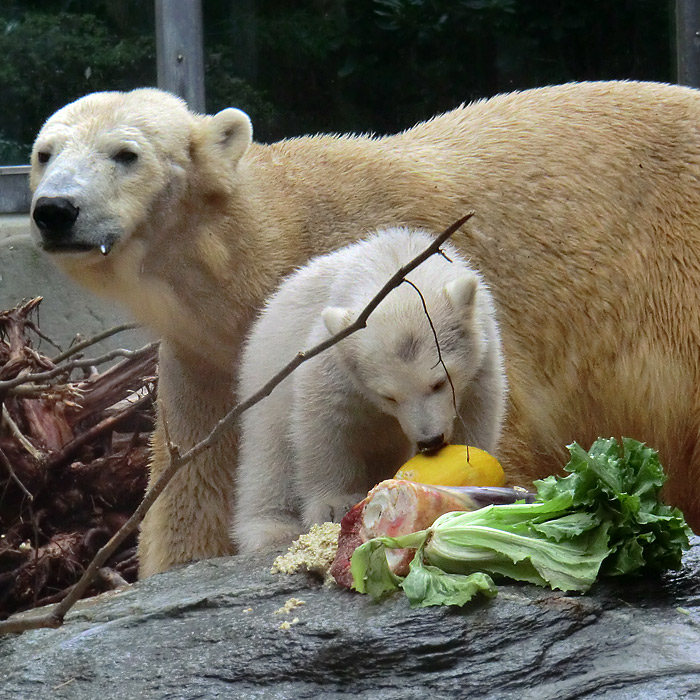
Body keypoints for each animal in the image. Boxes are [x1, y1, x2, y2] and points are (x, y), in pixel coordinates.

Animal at [31, 80, 700, 576]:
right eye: (44, 153)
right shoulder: (206, 365)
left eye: (125, 153)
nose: (54, 210)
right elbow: (193, 497)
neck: (266, 251)